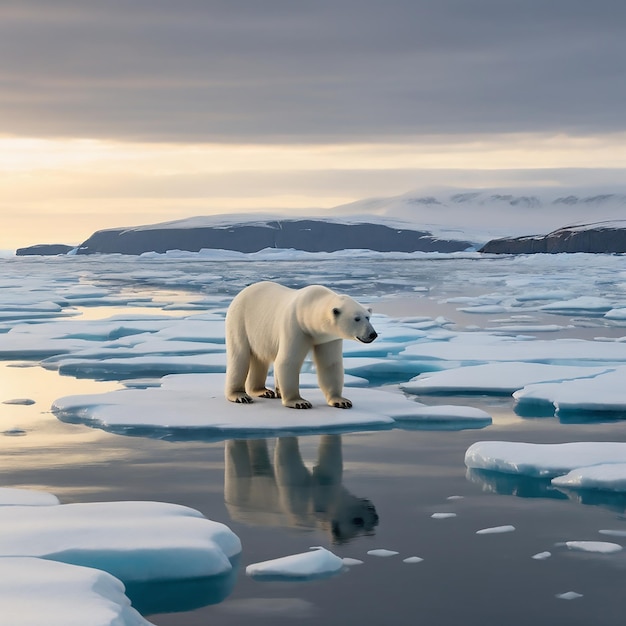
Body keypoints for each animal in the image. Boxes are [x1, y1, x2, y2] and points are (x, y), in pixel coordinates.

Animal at [224, 280, 376, 408]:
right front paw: (299, 402)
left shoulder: (328, 338)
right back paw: (240, 395)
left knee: (260, 359)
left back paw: (264, 391)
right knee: (239, 357)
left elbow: (330, 364)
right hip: (240, 321)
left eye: (367, 317)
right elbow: (288, 361)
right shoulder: (295, 326)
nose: (373, 334)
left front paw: (341, 400)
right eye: (357, 318)